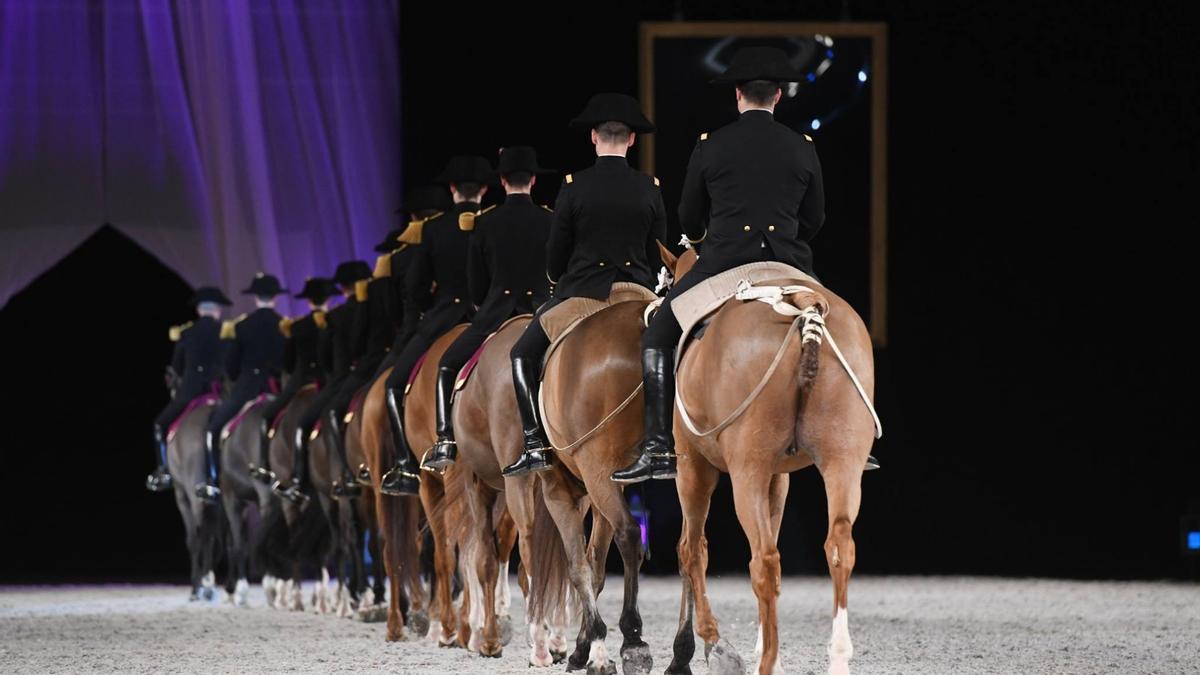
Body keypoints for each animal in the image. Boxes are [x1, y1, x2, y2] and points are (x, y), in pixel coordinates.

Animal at [662, 248, 878, 672]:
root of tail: (802, 304)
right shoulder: (778, 478)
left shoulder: (694, 467)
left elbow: (692, 550)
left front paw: (715, 644)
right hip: (842, 464)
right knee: (839, 546)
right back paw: (836, 658)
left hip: (745, 472)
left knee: (763, 560)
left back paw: (767, 663)